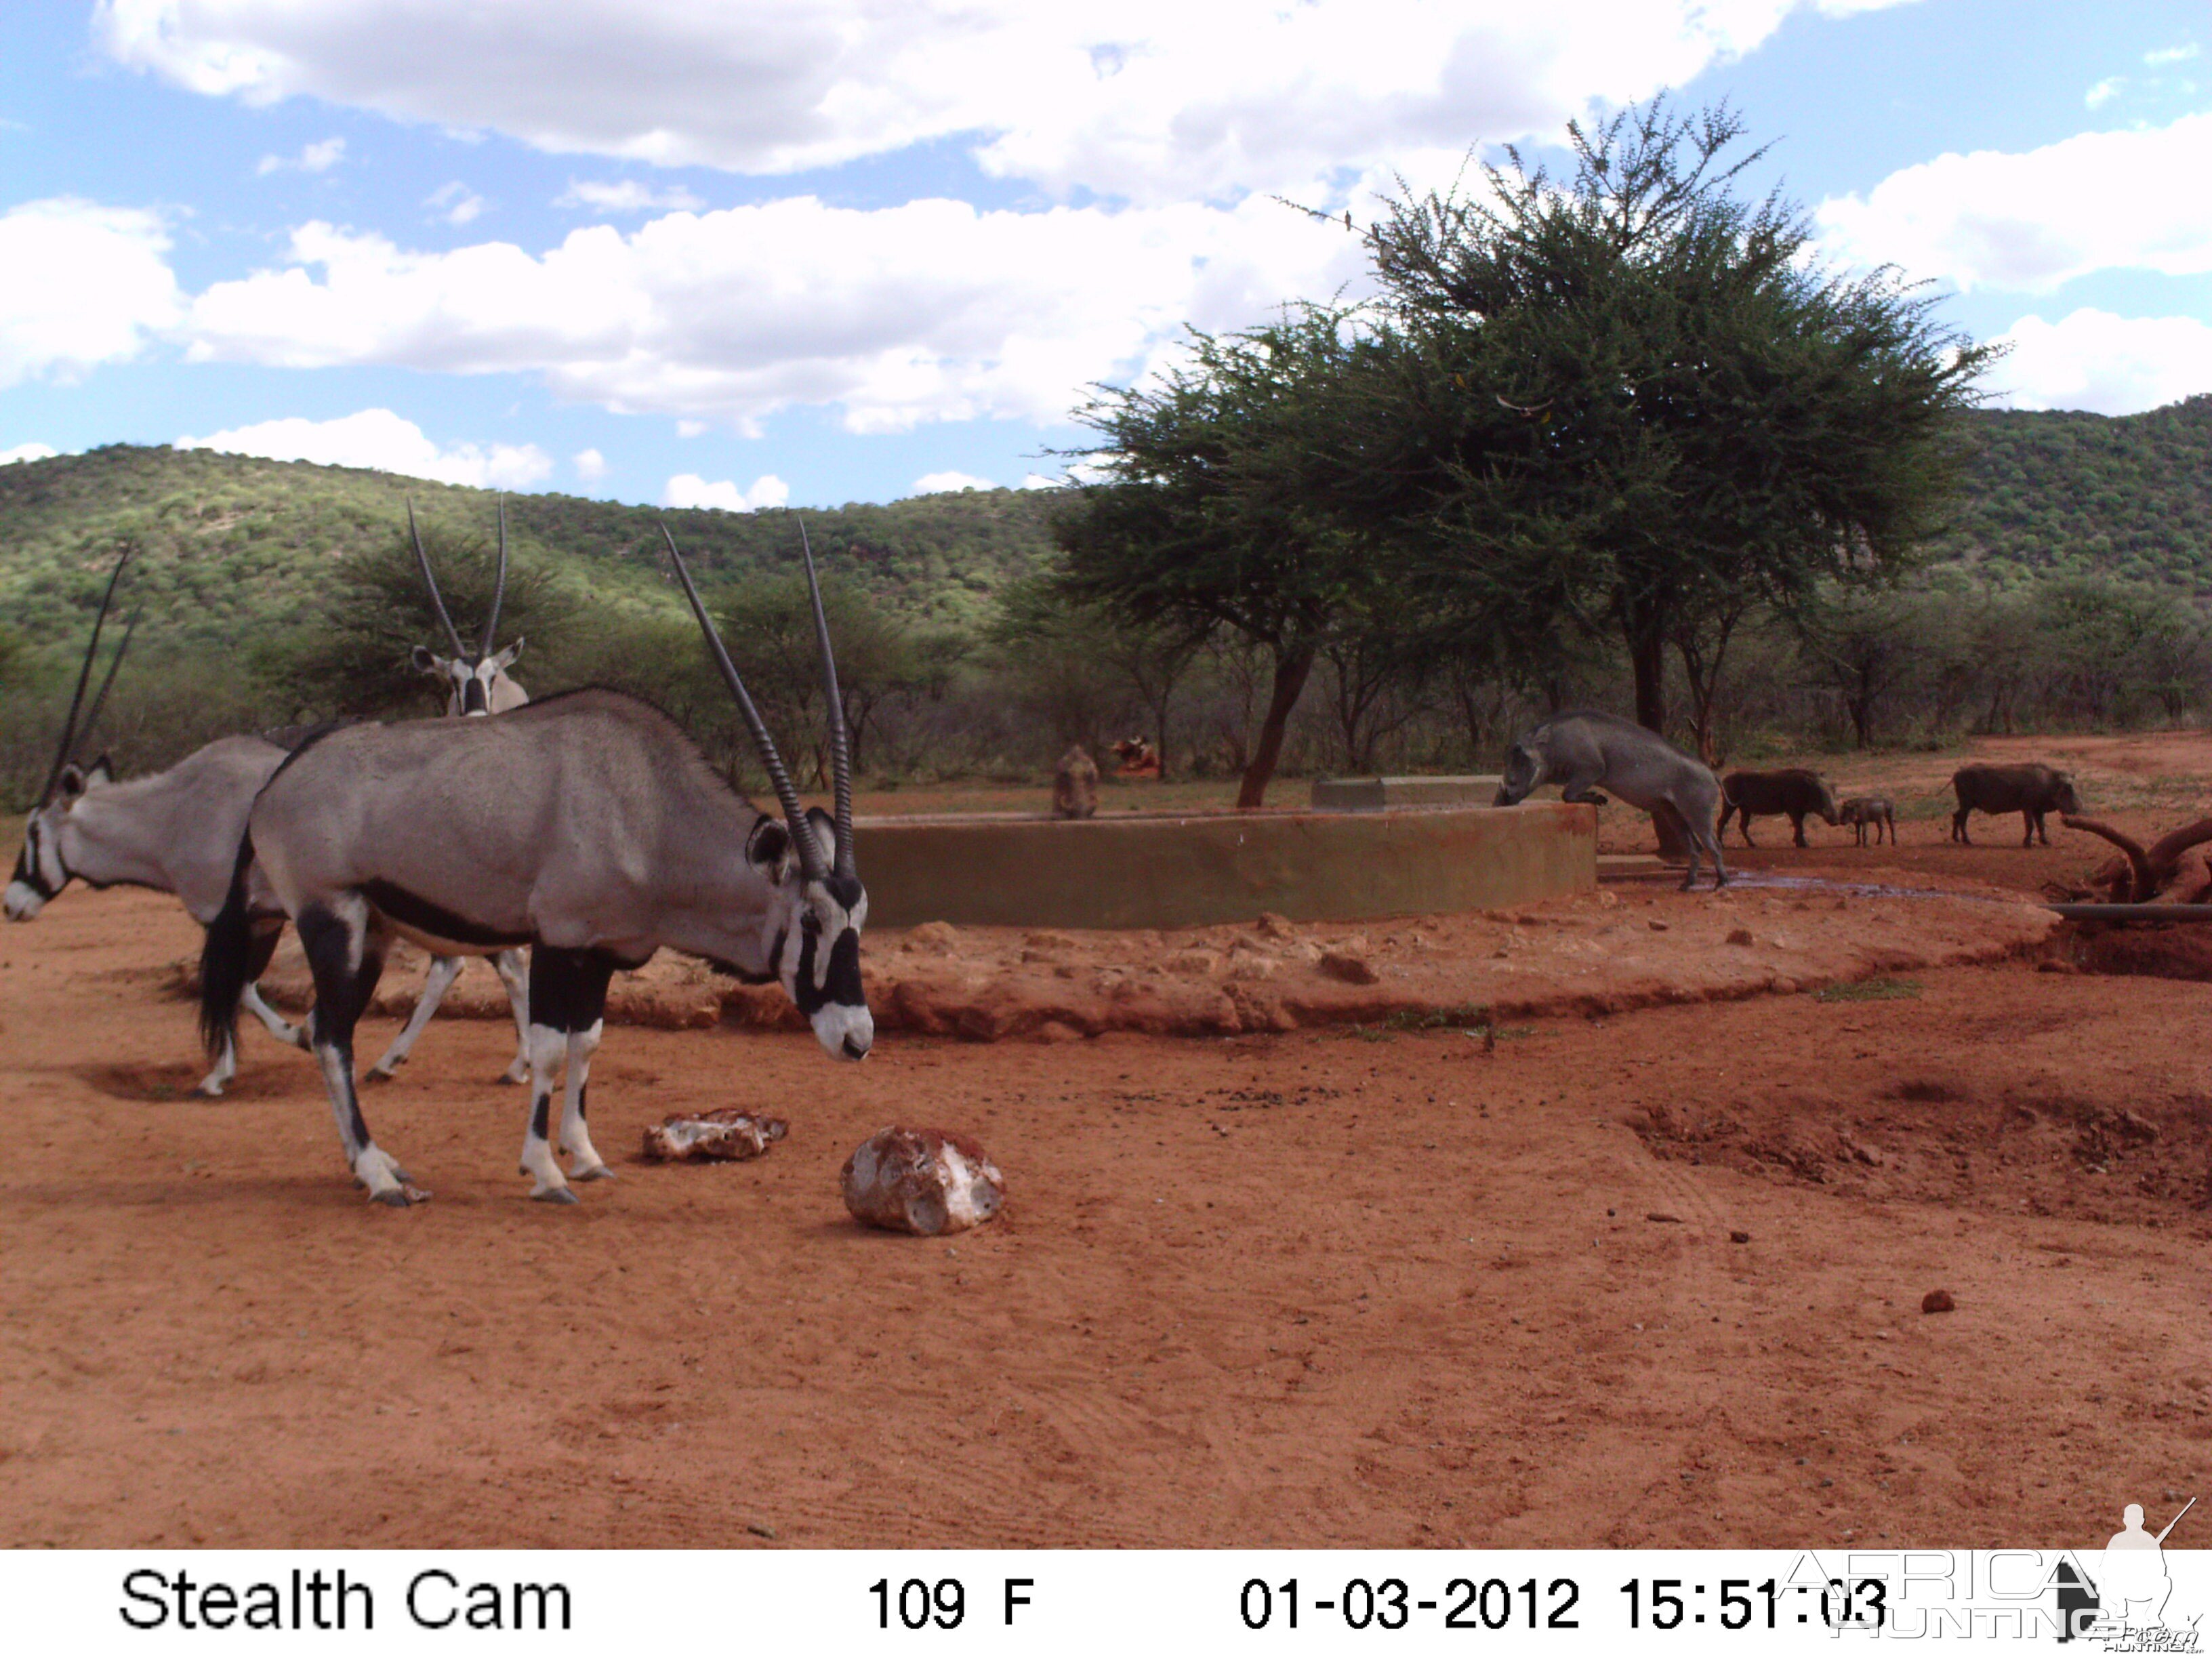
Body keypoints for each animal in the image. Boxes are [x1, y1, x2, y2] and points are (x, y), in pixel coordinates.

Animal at [201, 520, 872, 1212]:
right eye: (810, 921)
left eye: (860, 919)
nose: (858, 1040)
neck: (648, 808)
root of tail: (275, 784)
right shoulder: (560, 939)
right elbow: (550, 1050)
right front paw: (546, 1170)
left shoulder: (603, 952)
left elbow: (588, 1041)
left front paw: (586, 1156)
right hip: (333, 919)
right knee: (330, 1034)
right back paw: (377, 1174)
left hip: (375, 932)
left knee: (330, 1028)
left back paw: (379, 1162)